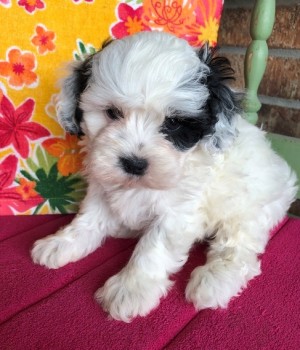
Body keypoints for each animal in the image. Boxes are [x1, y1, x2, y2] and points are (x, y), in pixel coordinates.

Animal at [31, 31, 298, 322]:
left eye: (173, 123)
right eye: (112, 112)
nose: (134, 163)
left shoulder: (179, 210)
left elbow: (153, 246)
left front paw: (130, 289)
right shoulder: (102, 186)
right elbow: (89, 218)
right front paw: (62, 242)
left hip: (250, 208)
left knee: (238, 245)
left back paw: (214, 280)